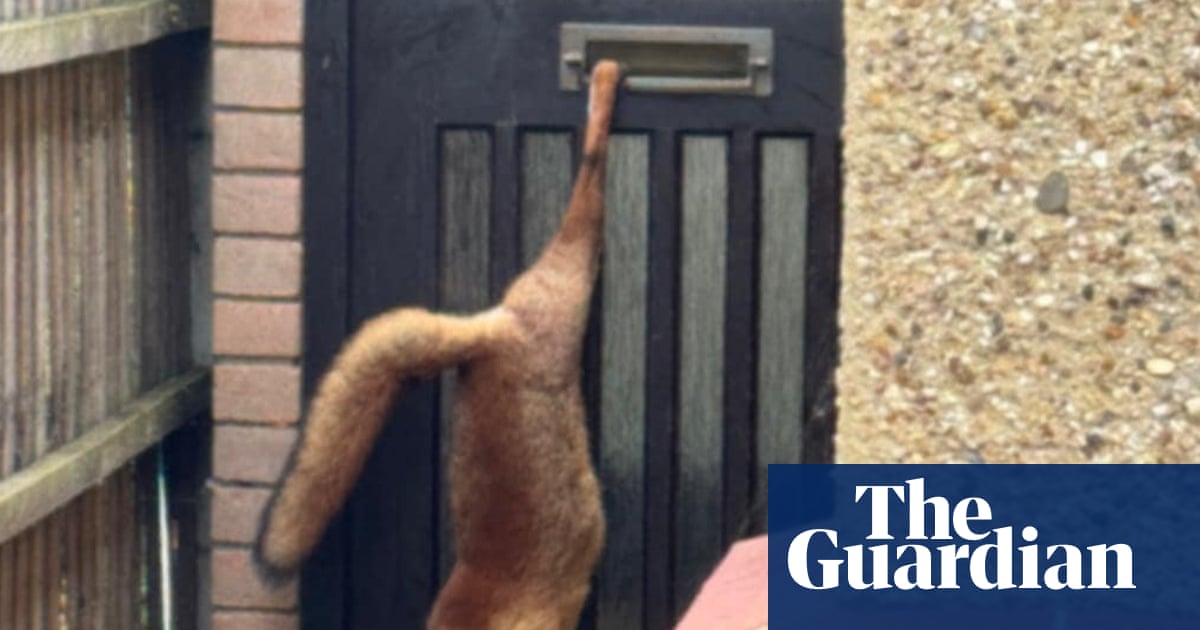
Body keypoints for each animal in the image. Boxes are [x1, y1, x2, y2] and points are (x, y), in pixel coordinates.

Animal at [254, 60, 625, 629]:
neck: (493, 592)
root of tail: (490, 332)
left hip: (571, 276)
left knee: (588, 175)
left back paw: (603, 85)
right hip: (565, 283)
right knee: (587, 177)